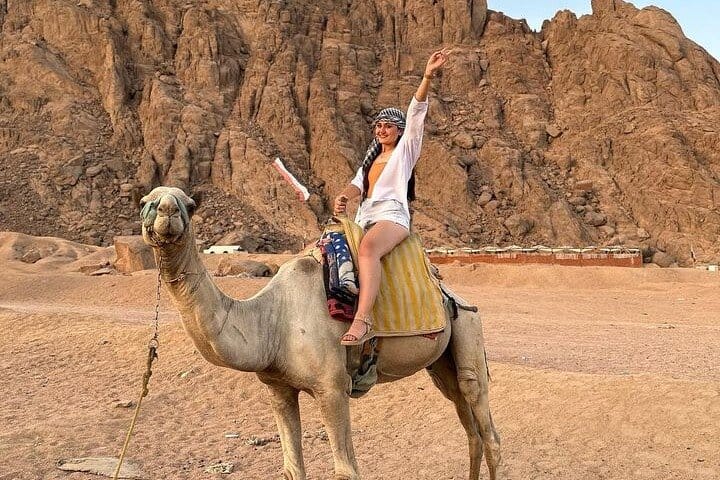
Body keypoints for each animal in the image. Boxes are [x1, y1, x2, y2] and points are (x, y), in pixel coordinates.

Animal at [140, 186, 501, 480]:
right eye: (145, 201)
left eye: (190, 205)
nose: (168, 210)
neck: (272, 321)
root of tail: (445, 289)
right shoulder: (278, 388)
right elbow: (291, 469)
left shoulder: (332, 387)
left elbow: (345, 470)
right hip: (440, 363)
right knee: (469, 426)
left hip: (469, 326)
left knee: (484, 420)